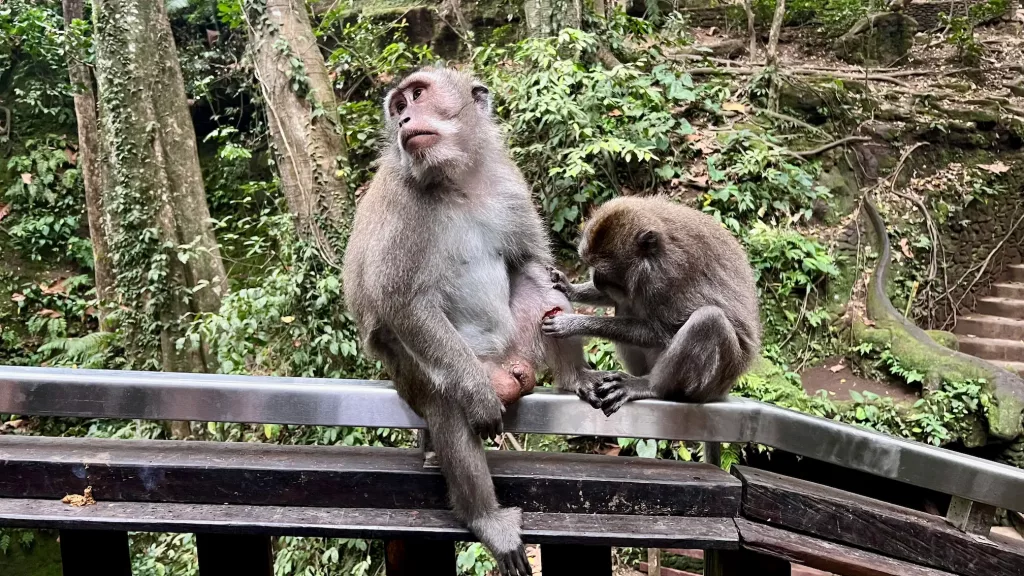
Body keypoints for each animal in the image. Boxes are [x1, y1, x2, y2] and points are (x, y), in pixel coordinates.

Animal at [342, 66, 622, 576]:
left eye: (418, 94)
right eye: (399, 106)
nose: (404, 118)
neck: (456, 180)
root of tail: (506, 365)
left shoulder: (508, 183)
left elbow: (531, 262)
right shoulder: (401, 200)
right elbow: (401, 303)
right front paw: (474, 398)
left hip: (521, 345)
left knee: (535, 282)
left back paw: (574, 376)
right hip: (428, 369)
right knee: (446, 403)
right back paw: (485, 517)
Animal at [541, 195, 761, 416]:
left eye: (603, 270)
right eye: (591, 265)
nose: (595, 279)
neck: (652, 257)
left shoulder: (665, 275)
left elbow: (661, 331)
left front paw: (574, 323)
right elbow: (615, 298)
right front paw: (569, 288)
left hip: (714, 384)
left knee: (709, 320)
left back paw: (650, 386)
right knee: (626, 304)